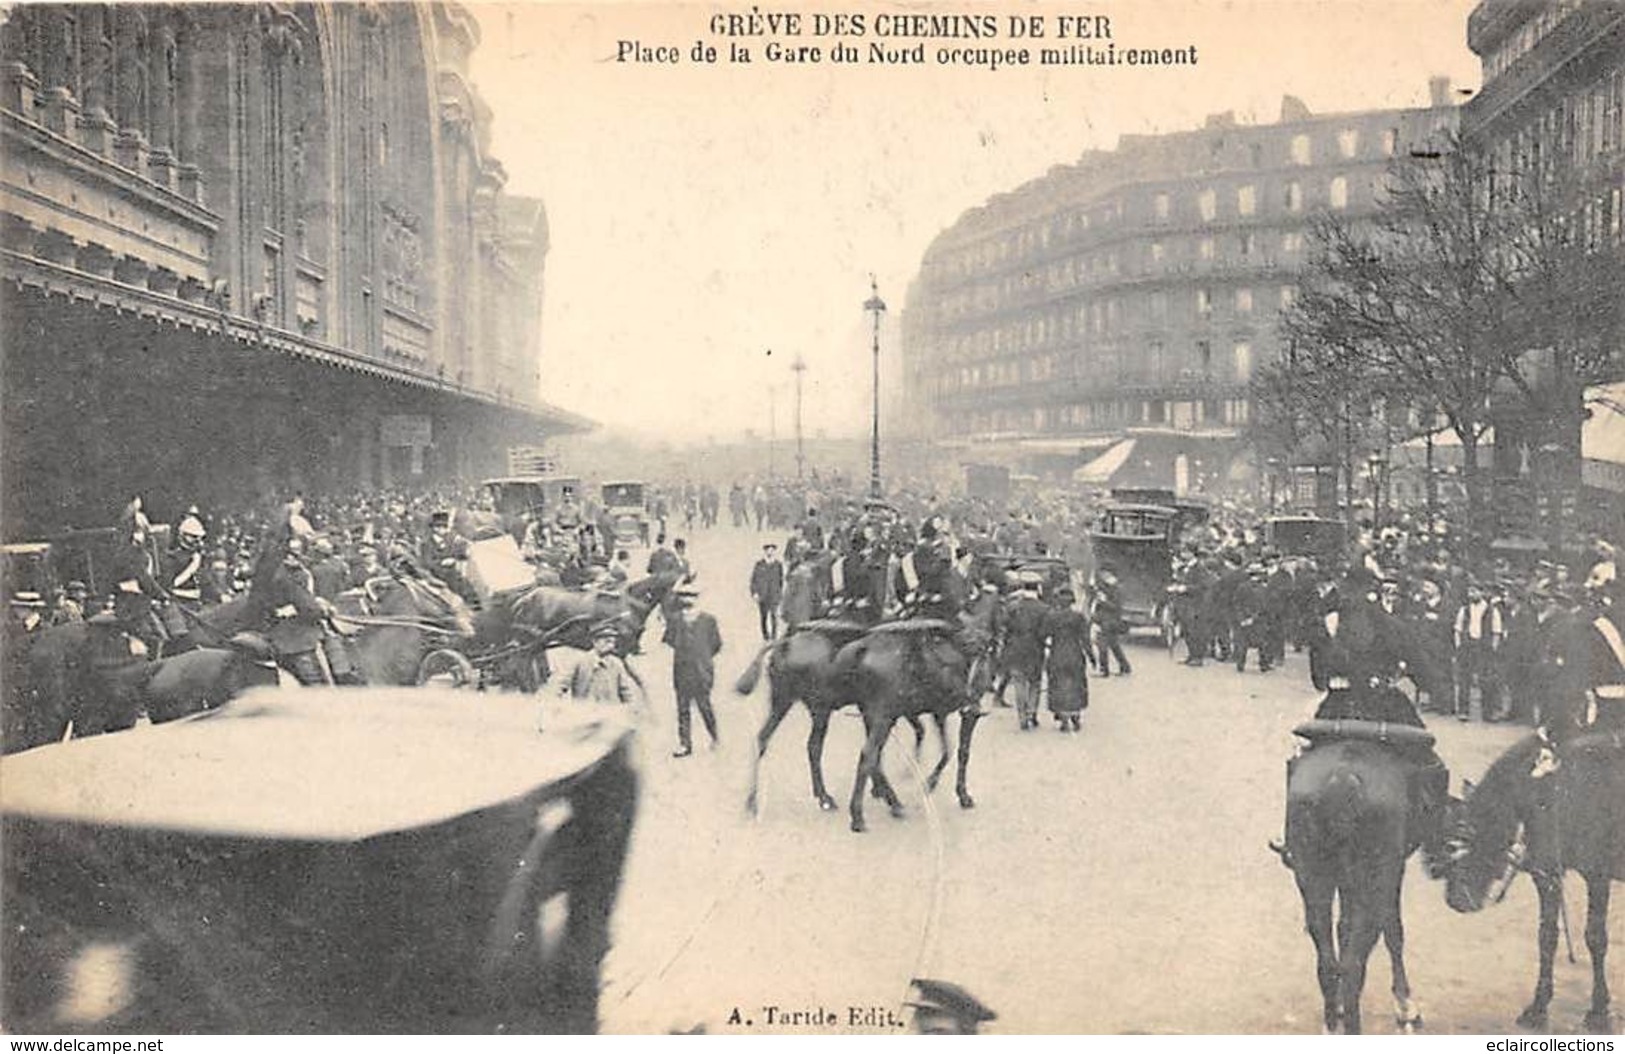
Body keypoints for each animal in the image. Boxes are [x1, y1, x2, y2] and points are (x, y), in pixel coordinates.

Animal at [1443, 730, 1618, 1026]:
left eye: (1481, 830)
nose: (1456, 899)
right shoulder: (1547, 875)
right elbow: (1547, 936)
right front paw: (1538, 1006)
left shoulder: (1598, 875)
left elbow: (1595, 937)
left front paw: (1598, 1010)